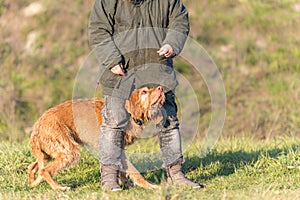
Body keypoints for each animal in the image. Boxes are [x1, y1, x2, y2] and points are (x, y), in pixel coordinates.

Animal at [28, 86, 165, 191]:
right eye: (144, 92)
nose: (161, 88)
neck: (129, 112)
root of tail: (37, 127)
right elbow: (134, 171)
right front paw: (149, 186)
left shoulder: (119, 149)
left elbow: (123, 169)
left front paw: (127, 183)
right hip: (69, 152)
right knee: (44, 170)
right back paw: (59, 188)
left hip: (49, 153)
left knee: (33, 166)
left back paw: (33, 183)